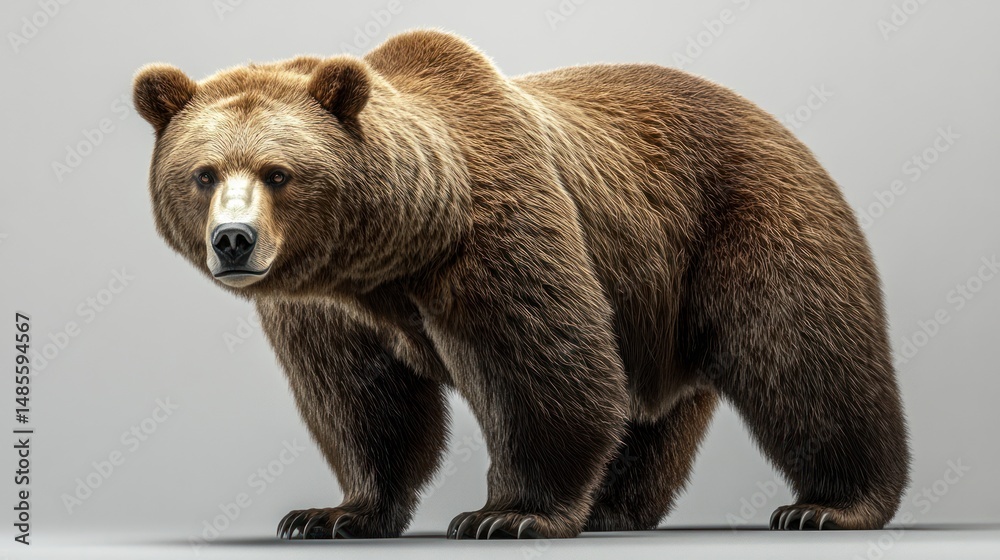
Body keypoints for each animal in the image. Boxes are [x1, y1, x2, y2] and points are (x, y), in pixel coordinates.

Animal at [133, 29, 910, 539]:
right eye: (203, 173)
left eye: (277, 172)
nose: (234, 240)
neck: (391, 254)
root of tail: (775, 123)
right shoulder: (327, 307)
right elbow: (363, 404)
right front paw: (330, 512)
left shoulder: (496, 237)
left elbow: (543, 367)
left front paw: (506, 513)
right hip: (654, 296)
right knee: (651, 410)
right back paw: (613, 508)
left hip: (748, 224)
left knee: (804, 359)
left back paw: (829, 504)